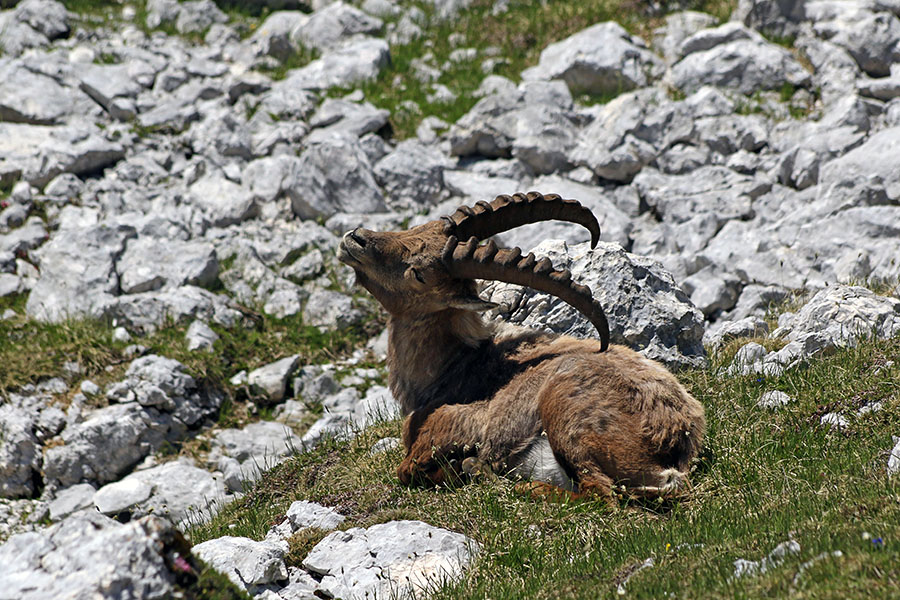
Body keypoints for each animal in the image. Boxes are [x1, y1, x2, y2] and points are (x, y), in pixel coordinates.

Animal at [337, 192, 705, 501]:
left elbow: (408, 469)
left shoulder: (451, 426)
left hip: (565, 412)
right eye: (415, 227)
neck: (458, 366)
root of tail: (676, 438)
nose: (355, 239)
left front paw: (461, 466)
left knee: (600, 494)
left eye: (419, 274)